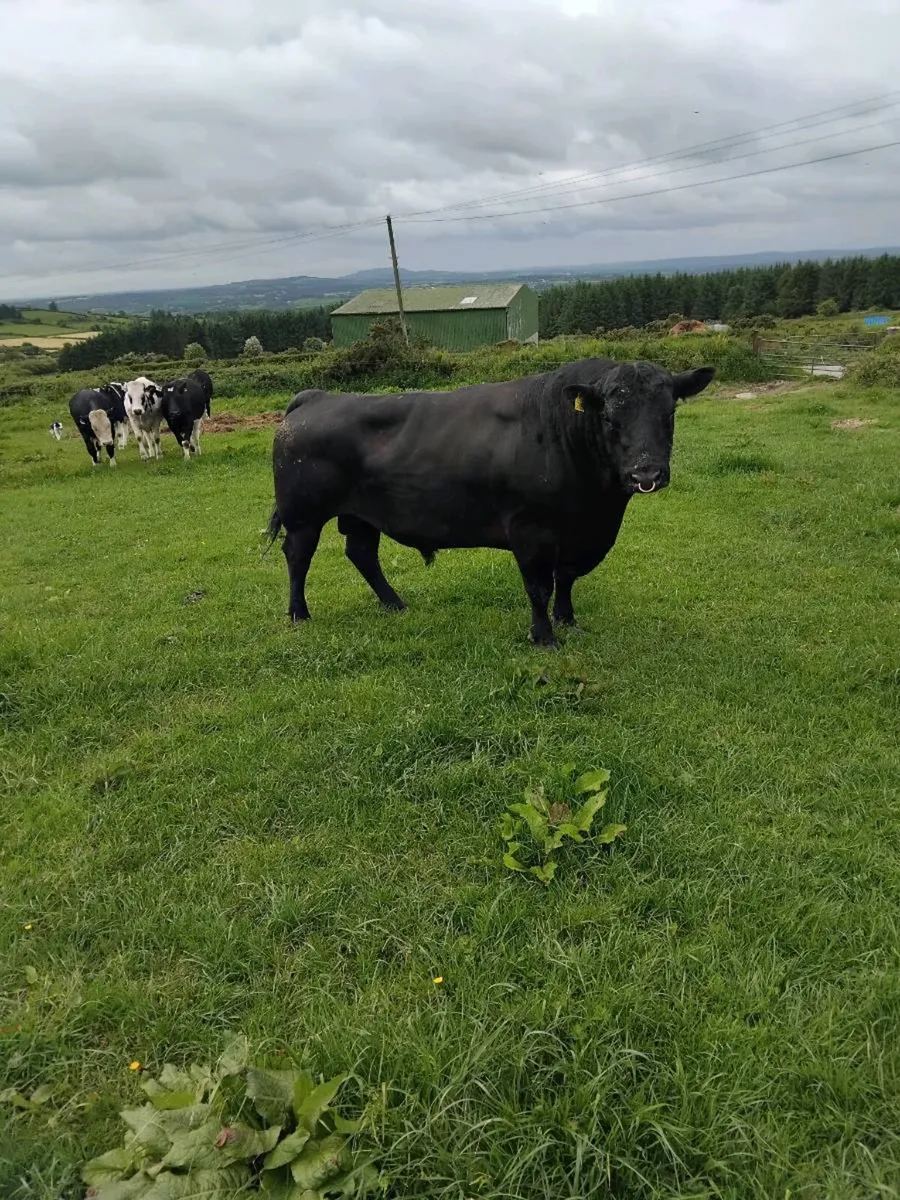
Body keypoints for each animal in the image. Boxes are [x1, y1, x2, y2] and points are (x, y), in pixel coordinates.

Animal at [267, 358, 715, 647]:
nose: (645, 473)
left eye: (669, 412)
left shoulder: (579, 535)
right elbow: (539, 586)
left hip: (362, 515)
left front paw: (568, 621)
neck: (597, 507)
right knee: (298, 556)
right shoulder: (531, 531)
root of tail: (316, 398)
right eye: (609, 415)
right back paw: (299, 614)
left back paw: (395, 604)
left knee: (361, 553)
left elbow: (566, 579)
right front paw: (544, 637)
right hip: (304, 516)